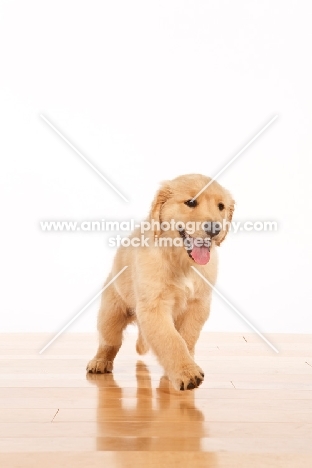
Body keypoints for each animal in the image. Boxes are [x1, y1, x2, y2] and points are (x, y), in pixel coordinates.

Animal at [86, 174, 234, 390]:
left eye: (221, 206)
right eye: (191, 202)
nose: (215, 229)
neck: (182, 262)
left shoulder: (198, 305)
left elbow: (186, 338)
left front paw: (184, 367)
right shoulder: (154, 307)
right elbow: (171, 340)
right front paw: (187, 372)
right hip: (110, 313)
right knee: (109, 342)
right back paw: (99, 362)